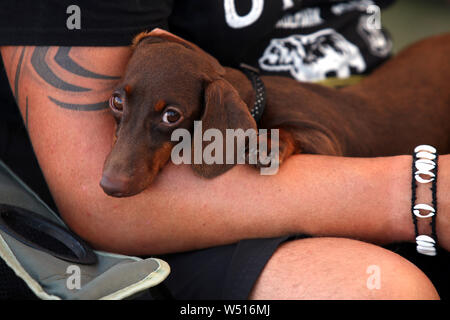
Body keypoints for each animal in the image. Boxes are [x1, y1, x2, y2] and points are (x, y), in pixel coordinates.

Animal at [99, 28, 450, 198]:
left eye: (171, 116)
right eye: (116, 102)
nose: (109, 186)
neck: (260, 100)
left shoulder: (329, 140)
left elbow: (289, 131)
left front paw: (266, 145)